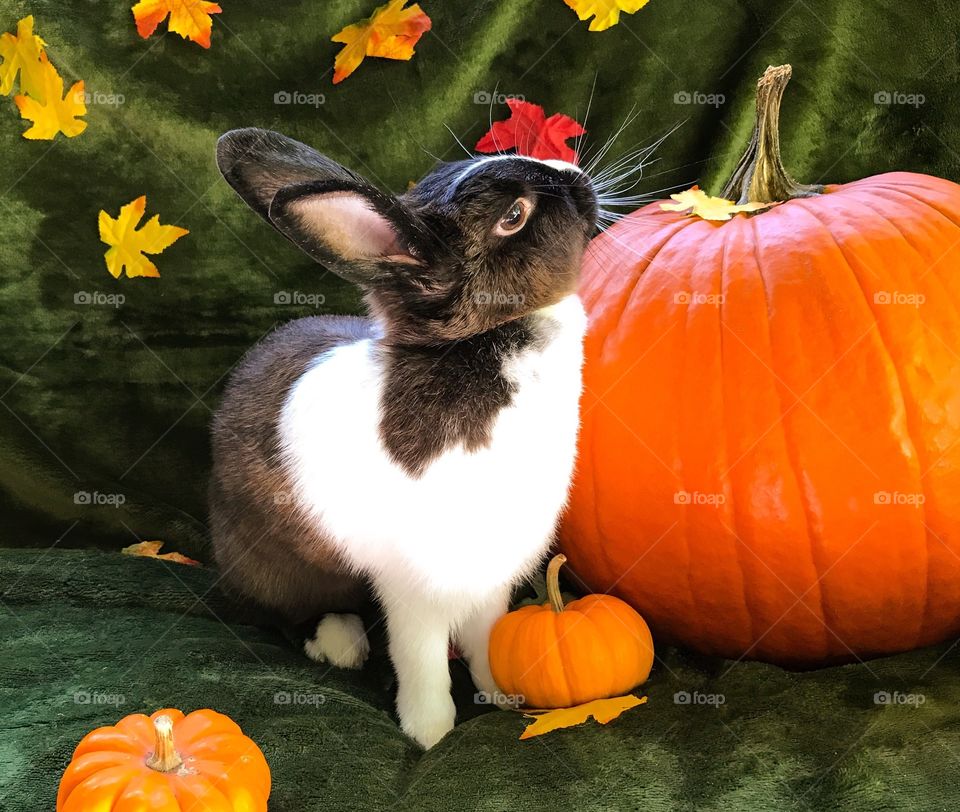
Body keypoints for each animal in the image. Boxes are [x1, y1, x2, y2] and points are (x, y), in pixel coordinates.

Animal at [209, 127, 598, 749]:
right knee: (284, 611)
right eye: (514, 216)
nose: (576, 174)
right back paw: (340, 641)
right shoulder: (415, 584)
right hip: (269, 566)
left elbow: (486, 639)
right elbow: (421, 657)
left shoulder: (490, 576)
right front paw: (430, 734)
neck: (478, 344)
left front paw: (501, 699)